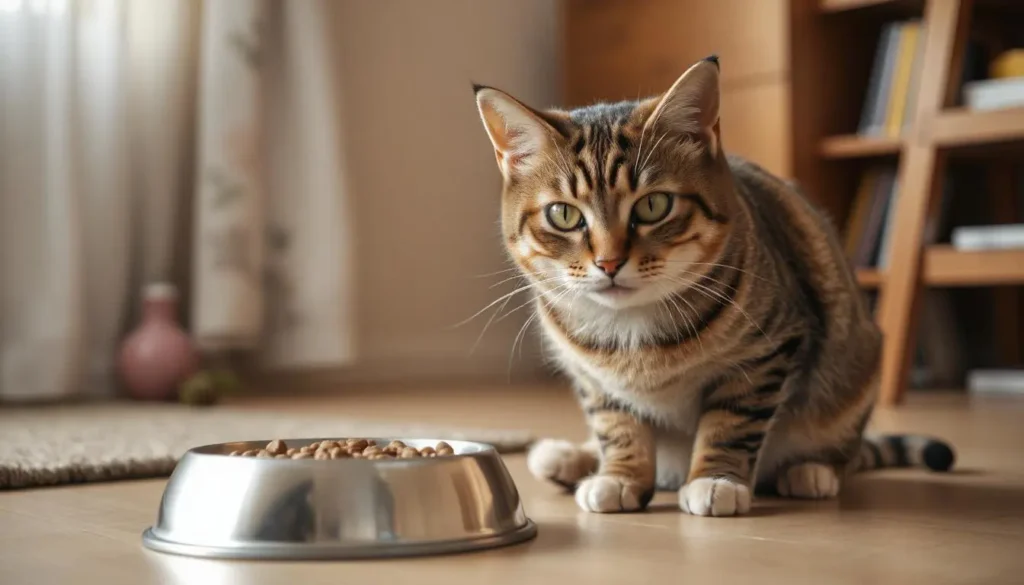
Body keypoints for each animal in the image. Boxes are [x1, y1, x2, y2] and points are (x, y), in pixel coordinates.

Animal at [471, 57, 950, 516]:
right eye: (564, 215)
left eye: (653, 205)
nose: (609, 262)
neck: (631, 334)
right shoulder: (594, 380)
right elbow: (617, 425)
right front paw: (621, 477)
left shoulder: (763, 354)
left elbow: (732, 422)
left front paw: (716, 480)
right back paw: (567, 458)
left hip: (854, 373)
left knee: (840, 451)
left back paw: (811, 470)